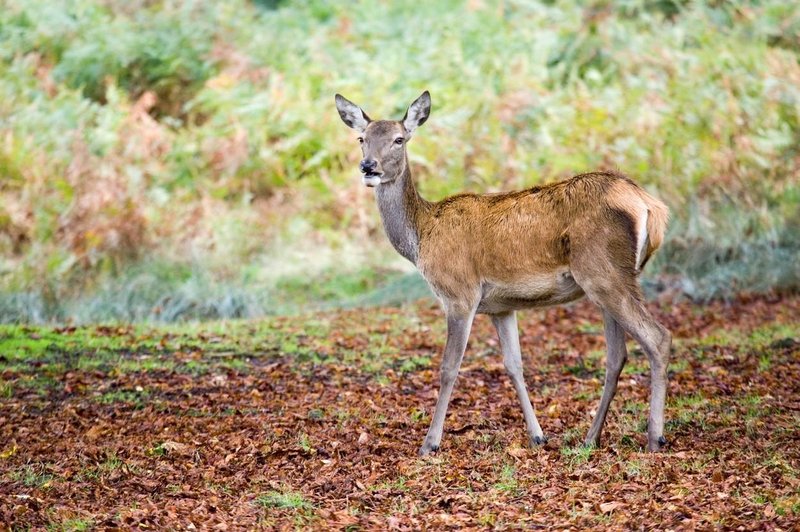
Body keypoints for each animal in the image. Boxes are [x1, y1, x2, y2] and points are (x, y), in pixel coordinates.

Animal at [334, 89, 672, 456]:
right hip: (609, 279)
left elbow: (449, 366)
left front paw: (430, 443)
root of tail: (651, 206)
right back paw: (589, 438)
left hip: (604, 272)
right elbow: (514, 365)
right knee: (616, 355)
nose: (369, 166)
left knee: (657, 337)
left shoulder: (460, 294)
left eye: (399, 139)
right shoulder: (501, 307)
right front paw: (538, 435)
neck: (421, 237)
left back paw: (654, 437)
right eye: (361, 138)